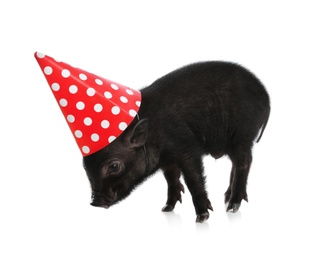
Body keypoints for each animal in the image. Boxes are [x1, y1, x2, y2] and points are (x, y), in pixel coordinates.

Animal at [83, 60, 270, 221]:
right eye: (85, 166)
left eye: (114, 166)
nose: (94, 203)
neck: (153, 134)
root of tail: (266, 97)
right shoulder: (168, 160)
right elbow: (171, 179)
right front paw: (166, 208)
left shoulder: (187, 147)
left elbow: (193, 178)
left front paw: (202, 217)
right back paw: (226, 198)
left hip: (242, 135)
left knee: (244, 162)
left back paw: (232, 207)